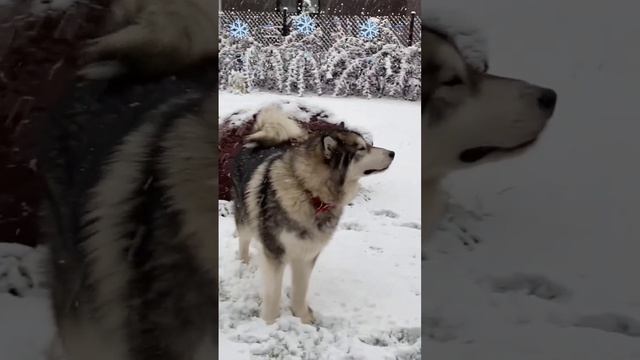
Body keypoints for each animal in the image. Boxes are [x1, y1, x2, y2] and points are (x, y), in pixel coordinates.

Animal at [230, 105, 396, 324]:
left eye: (367, 145)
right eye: (361, 148)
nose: (393, 153)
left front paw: (303, 318)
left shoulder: (308, 253)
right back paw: (244, 263)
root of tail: (258, 142)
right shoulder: (275, 253)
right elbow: (273, 293)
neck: (309, 193)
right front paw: (270, 322)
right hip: (245, 218)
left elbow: (301, 290)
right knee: (244, 239)